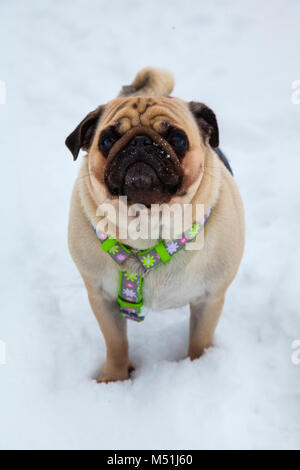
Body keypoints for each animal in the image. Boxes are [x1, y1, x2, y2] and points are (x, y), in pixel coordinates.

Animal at [65, 67, 244, 382]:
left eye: (178, 138)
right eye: (107, 140)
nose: (139, 142)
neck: (146, 228)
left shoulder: (209, 299)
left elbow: (199, 341)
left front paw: (196, 370)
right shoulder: (101, 298)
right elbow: (116, 343)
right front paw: (114, 378)